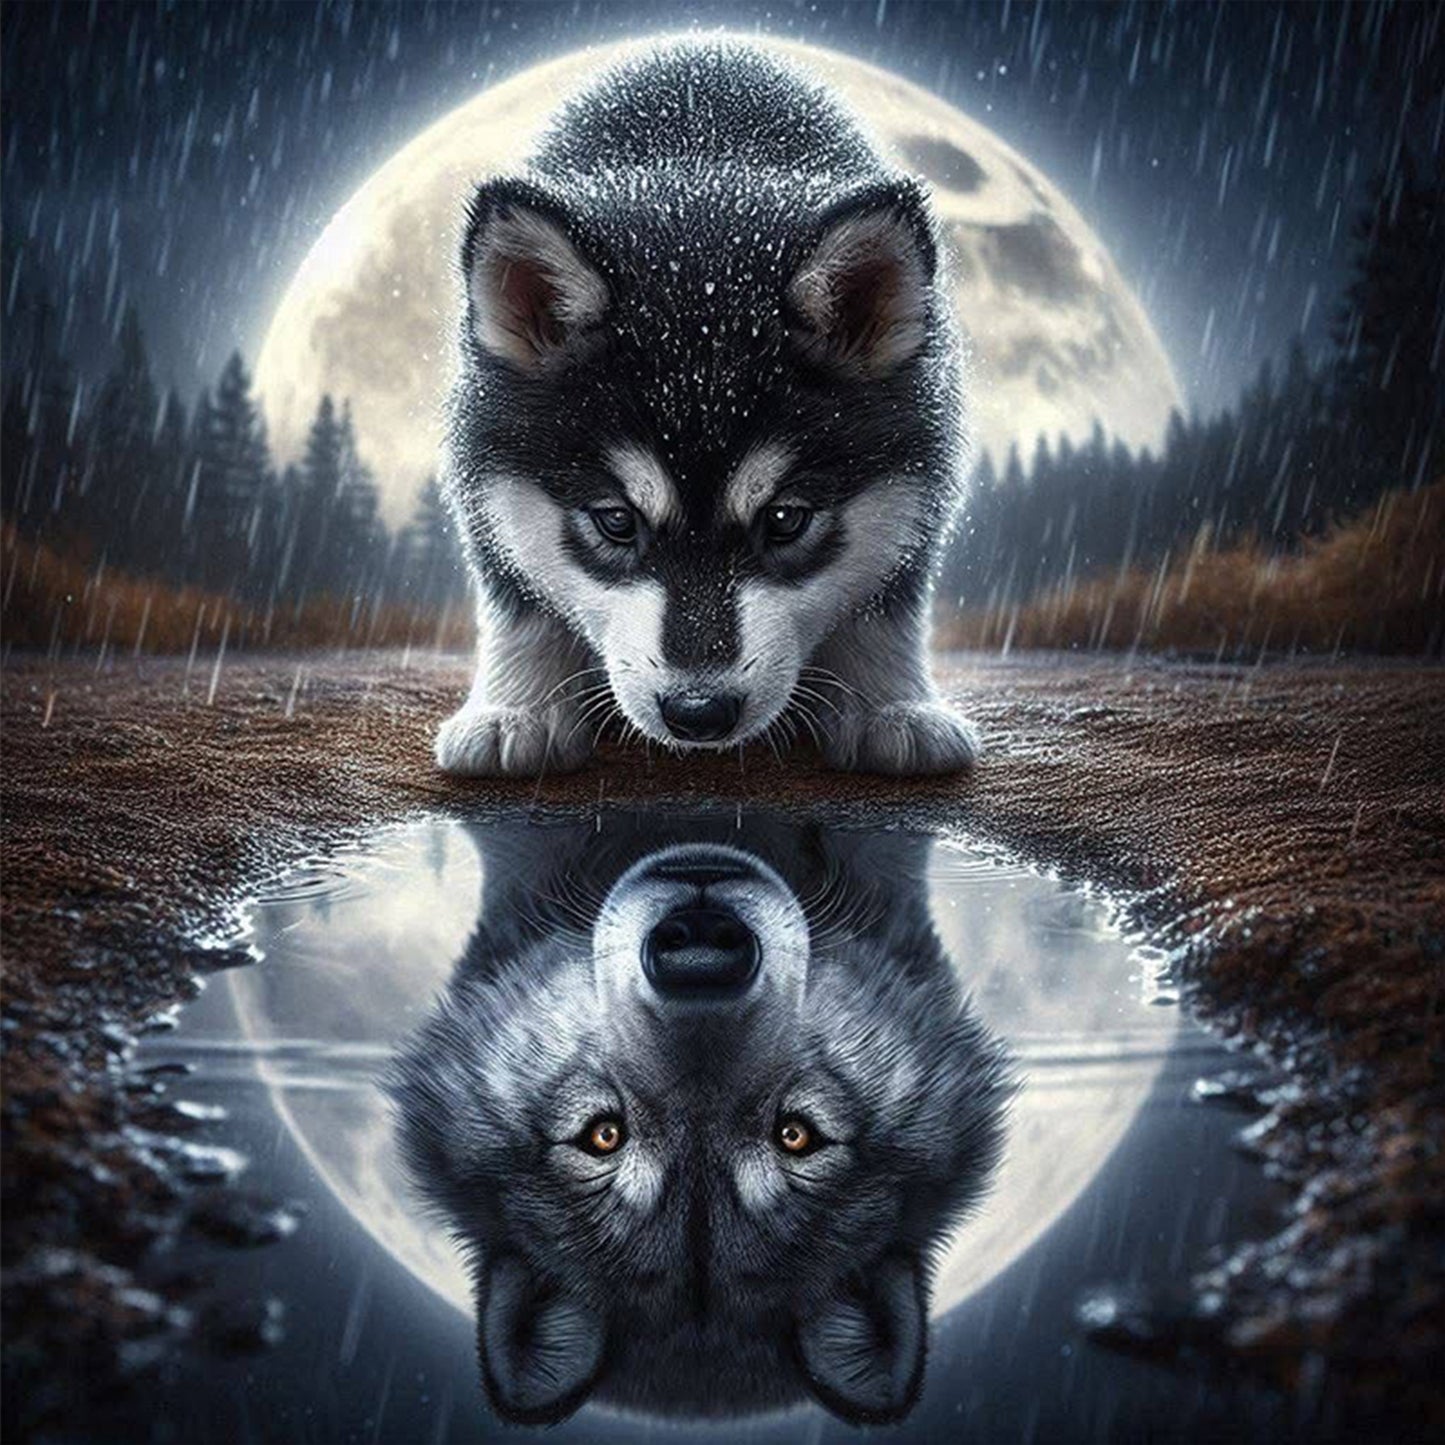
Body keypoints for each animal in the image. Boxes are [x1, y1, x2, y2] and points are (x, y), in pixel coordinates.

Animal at [435, 38, 979, 777]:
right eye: (614, 520)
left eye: (785, 519)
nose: (699, 713)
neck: (700, 179)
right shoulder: (487, 483)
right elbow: (521, 609)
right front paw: (515, 709)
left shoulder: (918, 481)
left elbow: (883, 612)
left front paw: (891, 706)